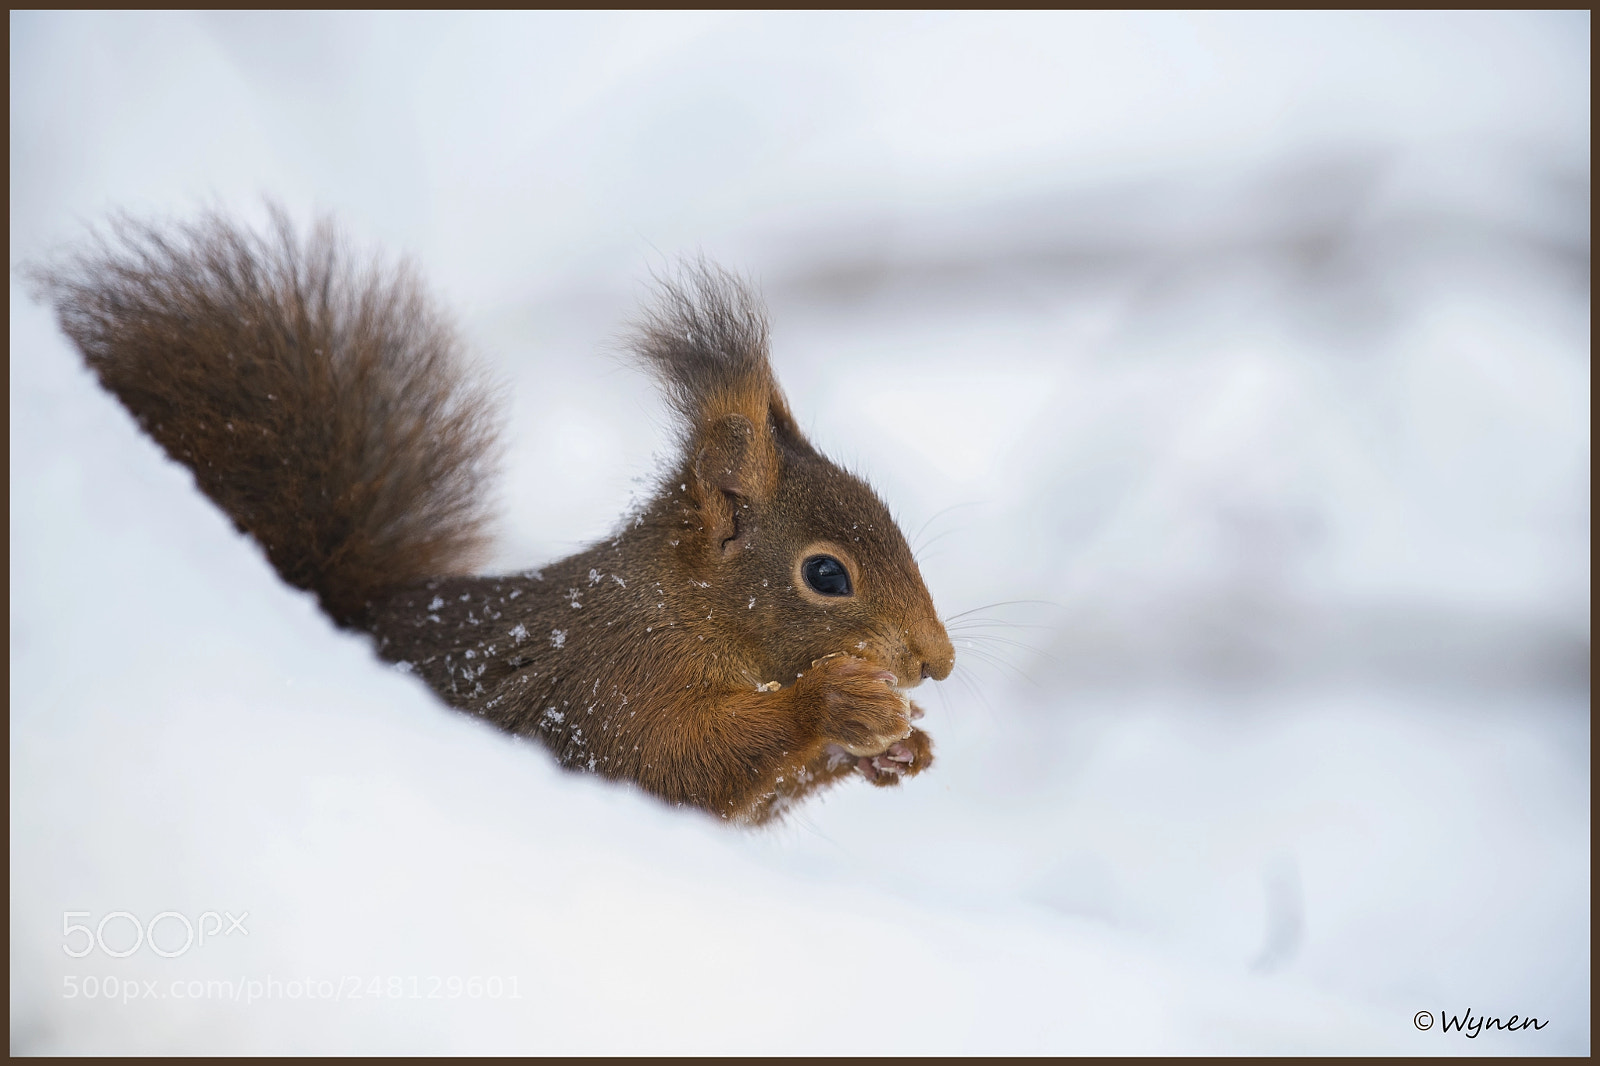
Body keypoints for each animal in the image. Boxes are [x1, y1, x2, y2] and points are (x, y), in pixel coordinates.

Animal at [34, 208, 955, 825]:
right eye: (826, 574)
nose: (936, 665)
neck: (681, 613)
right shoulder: (614, 691)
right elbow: (678, 765)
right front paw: (835, 705)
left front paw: (902, 747)